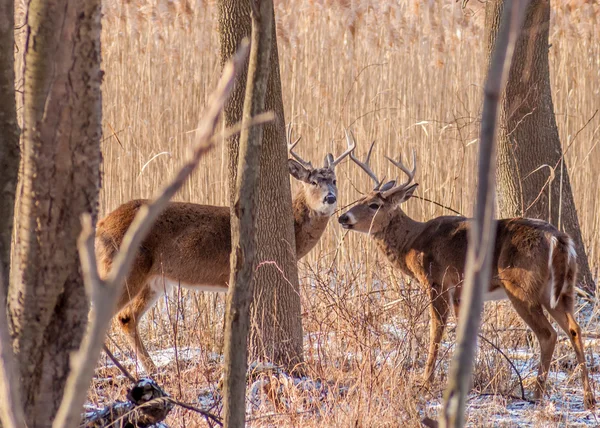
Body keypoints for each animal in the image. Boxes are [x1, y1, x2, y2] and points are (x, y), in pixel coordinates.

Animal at [96, 128, 354, 374]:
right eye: (313, 182)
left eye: (334, 179)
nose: (330, 197)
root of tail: (101, 226)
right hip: (126, 268)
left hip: (154, 281)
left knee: (126, 318)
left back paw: (152, 369)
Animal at [338, 135, 596, 410]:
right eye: (361, 198)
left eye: (374, 205)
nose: (343, 217)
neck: (413, 242)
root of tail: (559, 239)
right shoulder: (461, 291)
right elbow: (463, 333)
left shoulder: (438, 282)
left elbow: (436, 331)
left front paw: (425, 382)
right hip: (560, 289)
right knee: (574, 328)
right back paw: (588, 397)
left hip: (521, 286)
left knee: (548, 334)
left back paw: (537, 393)